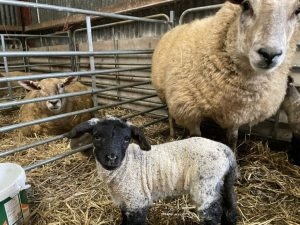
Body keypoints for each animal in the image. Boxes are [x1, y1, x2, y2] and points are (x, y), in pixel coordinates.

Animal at [67, 116, 237, 225]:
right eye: (96, 137)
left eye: (126, 139)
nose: (111, 158)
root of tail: (223, 148)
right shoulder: (123, 201)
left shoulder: (137, 202)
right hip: (222, 183)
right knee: (228, 209)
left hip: (205, 187)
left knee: (212, 214)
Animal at [151, 0, 300, 150]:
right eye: (246, 5)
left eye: (297, 11)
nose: (269, 54)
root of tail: (173, 28)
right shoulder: (187, 107)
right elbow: (196, 137)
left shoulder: (236, 113)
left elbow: (233, 138)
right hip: (165, 94)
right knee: (170, 116)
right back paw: (172, 133)